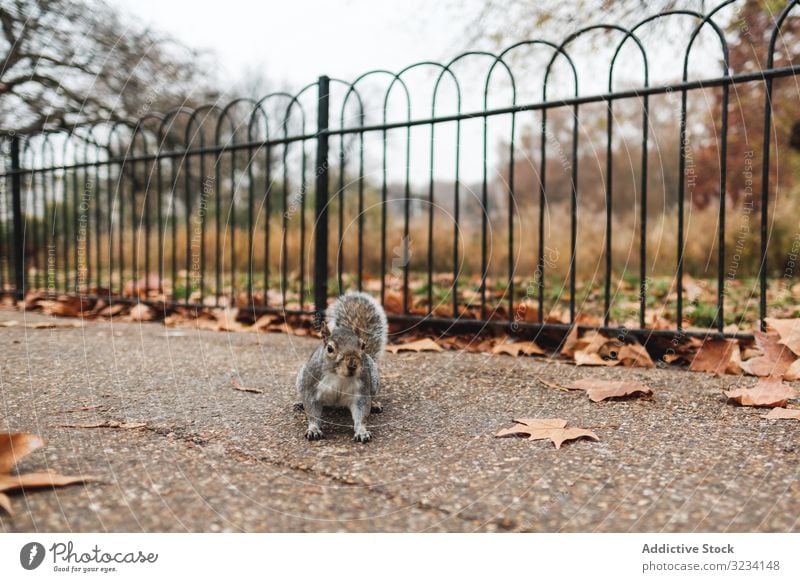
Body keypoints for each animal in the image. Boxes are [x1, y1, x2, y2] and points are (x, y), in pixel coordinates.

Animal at [296, 294, 390, 444]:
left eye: (363, 345)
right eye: (330, 348)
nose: (352, 365)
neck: (339, 376)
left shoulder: (361, 391)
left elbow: (362, 413)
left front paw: (362, 431)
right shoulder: (312, 388)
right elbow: (312, 411)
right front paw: (313, 429)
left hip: (374, 381)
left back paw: (375, 404)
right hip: (301, 379)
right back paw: (300, 403)